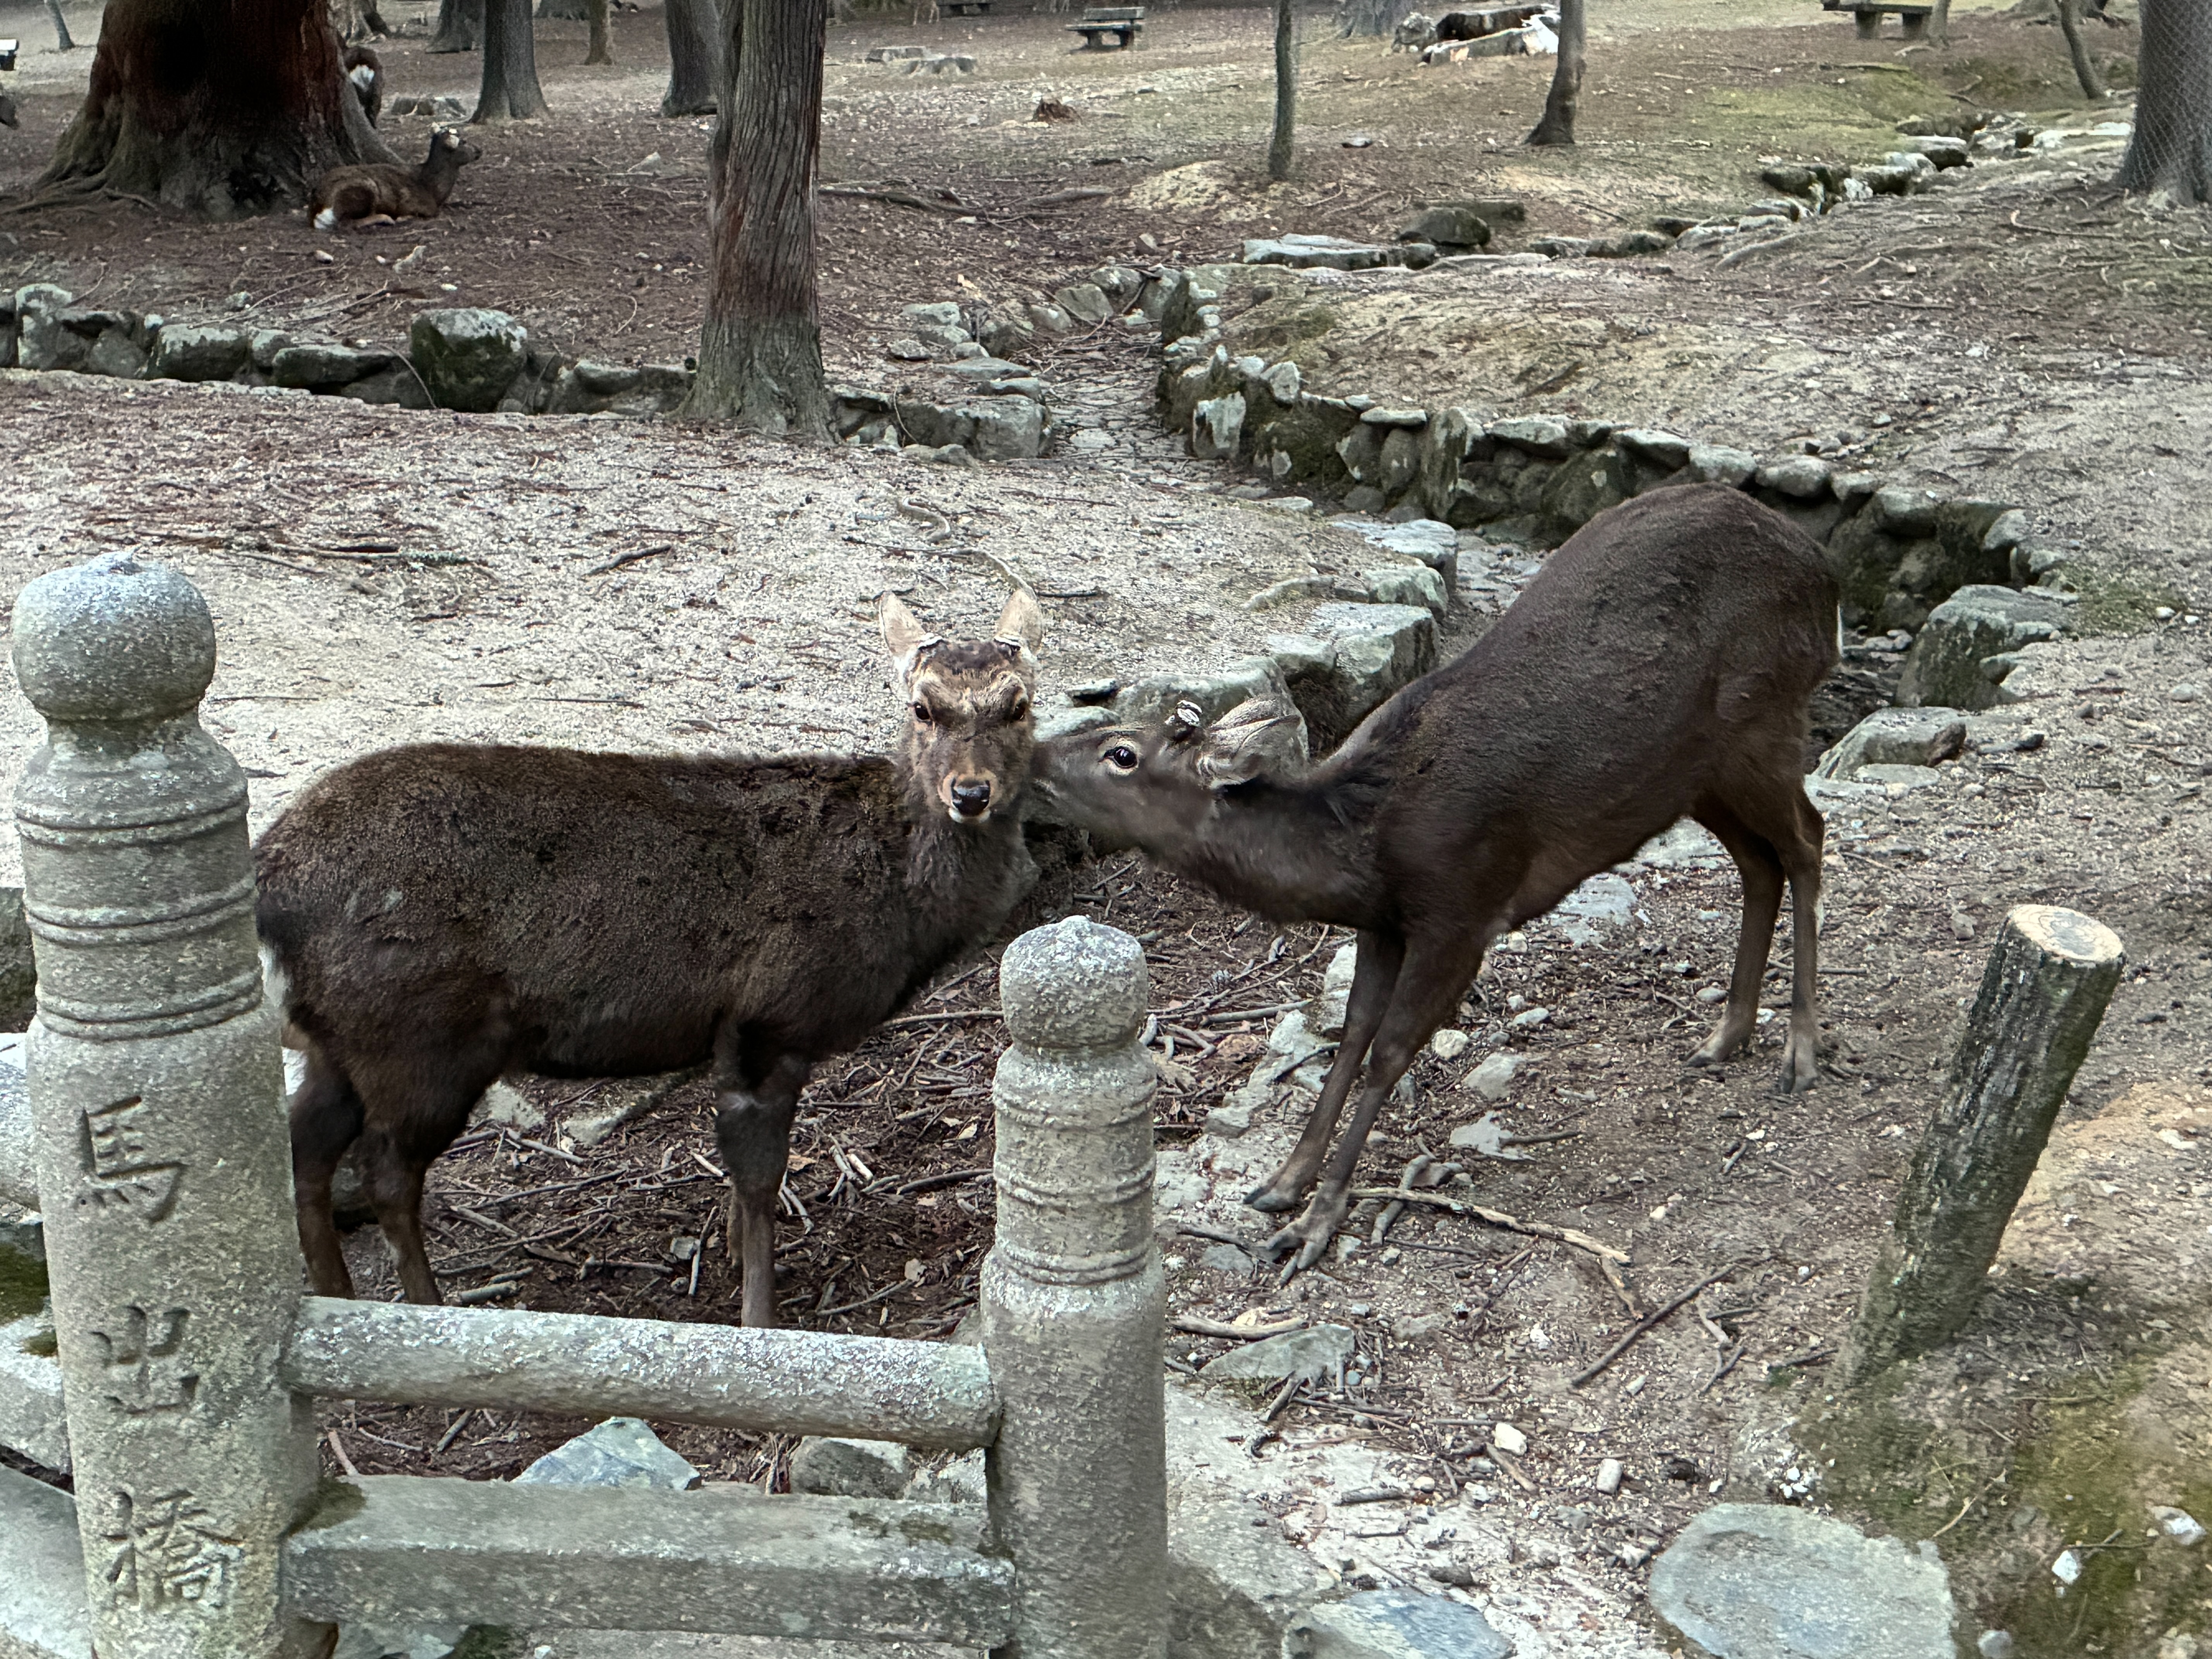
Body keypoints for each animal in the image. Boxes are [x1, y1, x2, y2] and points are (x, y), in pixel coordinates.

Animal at [257, 591, 1047, 1327]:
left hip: (341, 1041)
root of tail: (271, 875)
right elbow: (759, 1174)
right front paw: (759, 1315)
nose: (970, 792)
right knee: (385, 1172)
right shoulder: (769, 1016)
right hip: (420, 1038)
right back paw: (426, 1308)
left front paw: (731, 1255)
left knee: (304, 1147)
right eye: (923, 707)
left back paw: (335, 1295)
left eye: (1019, 705)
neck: (898, 904)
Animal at [310, 127, 479, 232]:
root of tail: (319, 206)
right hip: (363, 190)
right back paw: (387, 219)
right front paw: (403, 218)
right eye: (463, 142)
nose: (480, 150)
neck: (433, 190)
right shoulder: (420, 207)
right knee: (347, 223)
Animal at [1035, 484, 1839, 1273]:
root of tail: (1821, 571)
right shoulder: (1384, 921)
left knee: (1808, 839)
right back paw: (1726, 1032)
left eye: (1120, 752)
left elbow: (1390, 1050)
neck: (1366, 844)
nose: (1032, 755)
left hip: (1765, 717)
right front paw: (1282, 1182)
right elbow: (1350, 1033)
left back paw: (1799, 1047)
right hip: (1698, 774)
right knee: (1759, 860)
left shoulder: (1464, 908)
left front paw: (1316, 1223)